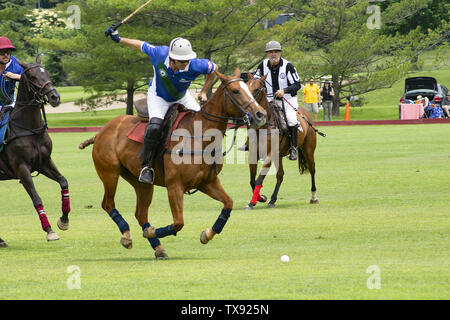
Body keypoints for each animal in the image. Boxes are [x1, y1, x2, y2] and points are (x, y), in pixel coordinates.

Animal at [0, 57, 71, 244]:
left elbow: (63, 182)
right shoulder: (21, 168)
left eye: (47, 72)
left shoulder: (44, 163)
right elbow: (36, 198)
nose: (55, 96)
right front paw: (49, 230)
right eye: (32, 76)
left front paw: (64, 220)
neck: (30, 128)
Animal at [78, 69, 266, 258]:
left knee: (141, 213)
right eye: (236, 91)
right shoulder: (174, 186)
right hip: (109, 173)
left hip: (141, 182)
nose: (261, 114)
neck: (200, 137)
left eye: (251, 90)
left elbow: (228, 204)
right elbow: (178, 222)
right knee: (108, 204)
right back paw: (127, 235)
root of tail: (101, 131)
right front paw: (151, 232)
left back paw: (158, 248)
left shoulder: (208, 182)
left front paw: (206, 234)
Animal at [243, 72, 320, 210]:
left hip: (308, 150)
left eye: (257, 89)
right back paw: (272, 200)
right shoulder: (253, 153)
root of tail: (306, 114)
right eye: (245, 87)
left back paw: (313, 197)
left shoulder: (269, 154)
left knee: (312, 169)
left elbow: (258, 179)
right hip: (279, 156)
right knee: (280, 175)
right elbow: (252, 180)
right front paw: (261, 198)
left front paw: (253, 202)